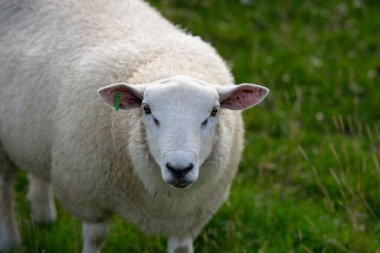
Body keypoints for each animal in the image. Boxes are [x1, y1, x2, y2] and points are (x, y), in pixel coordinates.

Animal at [0, 0, 268, 253]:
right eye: (147, 110)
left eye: (213, 112)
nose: (179, 168)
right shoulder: (90, 200)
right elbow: (95, 238)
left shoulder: (189, 219)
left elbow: (180, 247)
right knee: (5, 189)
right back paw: (11, 241)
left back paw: (43, 215)